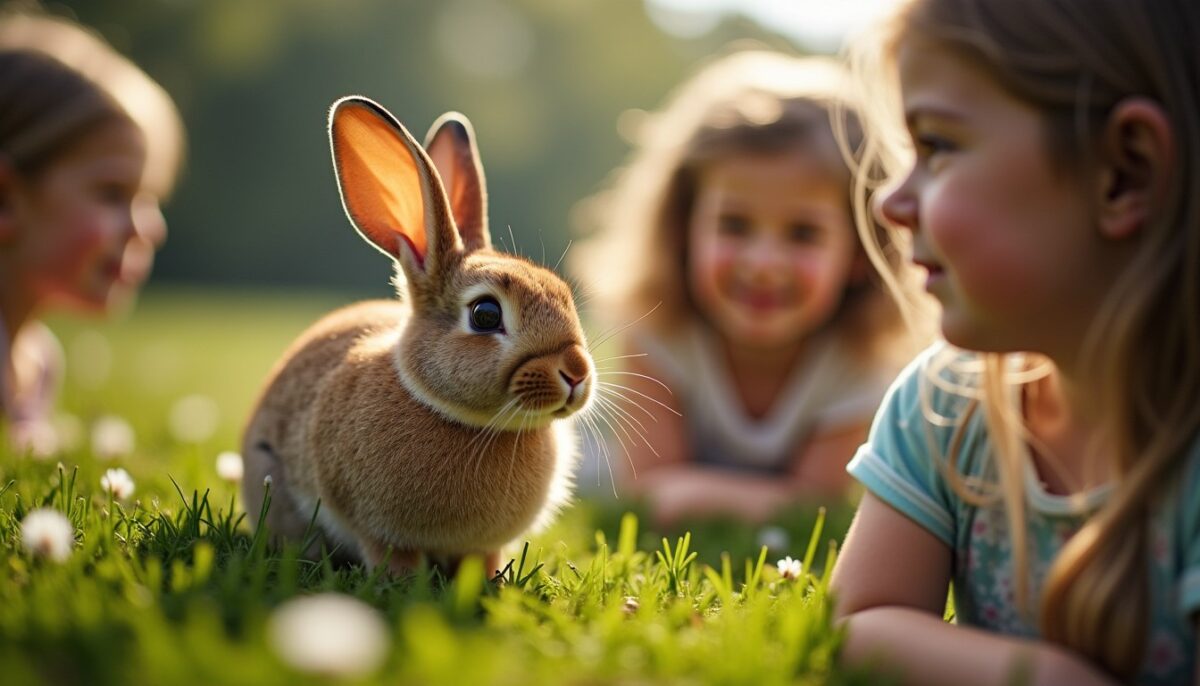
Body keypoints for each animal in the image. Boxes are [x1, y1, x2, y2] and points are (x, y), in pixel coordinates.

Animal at [241, 96, 594, 576]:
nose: (576, 373)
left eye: (562, 293)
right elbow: (389, 554)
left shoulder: (483, 543)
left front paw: (490, 579)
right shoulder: (372, 528)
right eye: (485, 315)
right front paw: (403, 581)